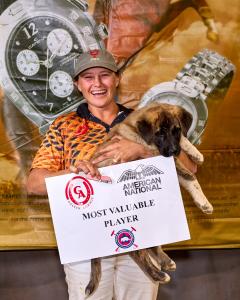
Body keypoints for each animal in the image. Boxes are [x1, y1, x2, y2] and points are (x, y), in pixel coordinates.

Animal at [85, 102, 213, 296]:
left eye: (176, 130)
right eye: (159, 133)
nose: (174, 151)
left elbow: (191, 177)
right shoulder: (159, 156)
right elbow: (190, 176)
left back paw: (165, 261)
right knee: (136, 252)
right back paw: (159, 275)